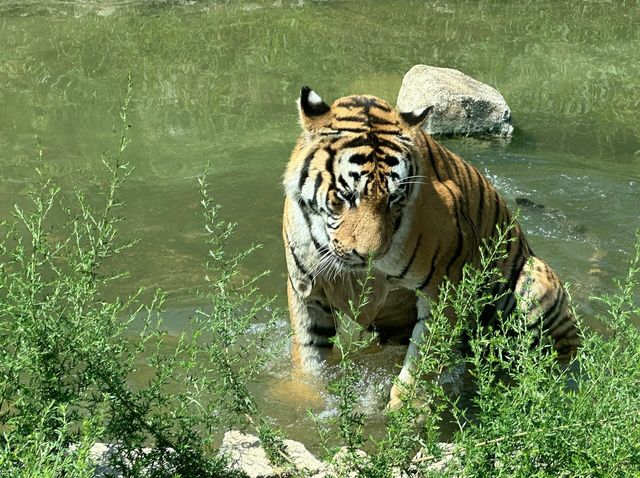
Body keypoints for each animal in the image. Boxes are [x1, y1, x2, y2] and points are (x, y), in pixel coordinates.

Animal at [280, 87, 580, 408]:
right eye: (346, 195)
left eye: (394, 198)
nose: (369, 256)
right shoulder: (307, 289)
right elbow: (311, 355)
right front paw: (309, 398)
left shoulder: (444, 289)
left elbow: (422, 360)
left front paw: (405, 411)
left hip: (535, 285)